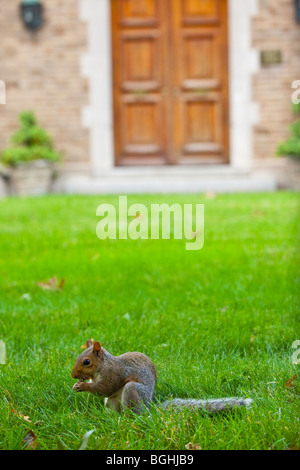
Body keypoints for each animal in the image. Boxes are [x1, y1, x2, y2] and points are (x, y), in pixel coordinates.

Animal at [71, 340, 252, 414]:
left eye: (86, 361)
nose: (73, 375)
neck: (104, 365)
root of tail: (148, 407)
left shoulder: (114, 373)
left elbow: (104, 388)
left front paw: (83, 386)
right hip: (113, 401)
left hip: (132, 391)